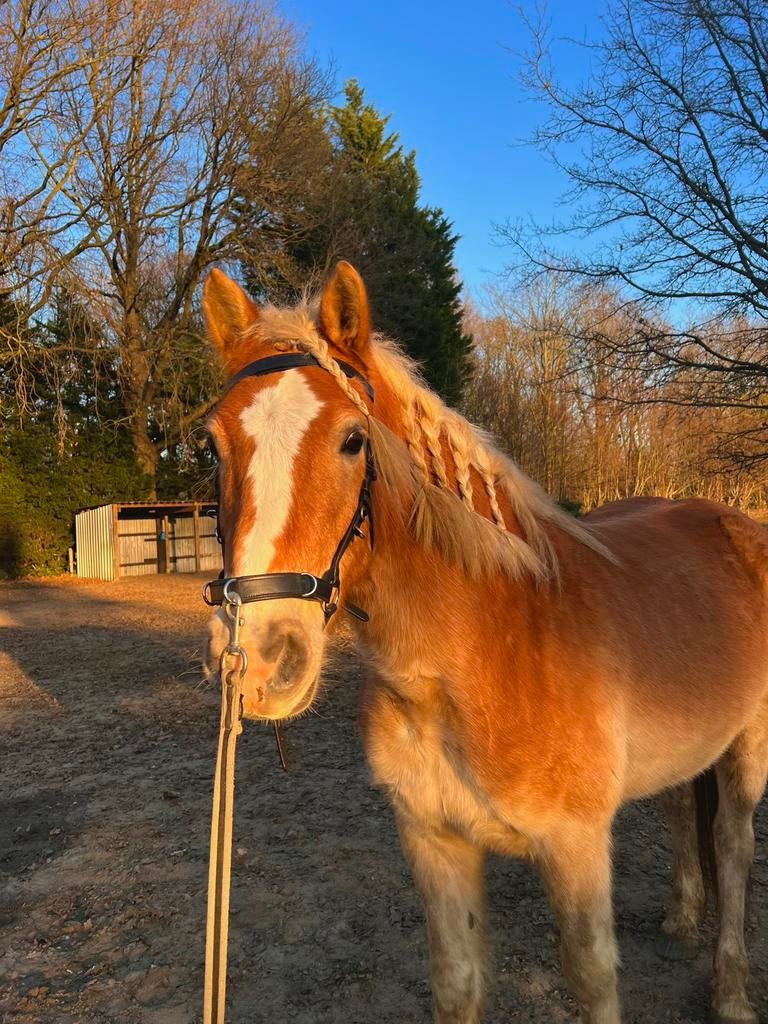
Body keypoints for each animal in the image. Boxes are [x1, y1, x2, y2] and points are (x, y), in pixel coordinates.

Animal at [201, 260, 768, 1024]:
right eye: (212, 444)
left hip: (748, 748)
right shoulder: (433, 841)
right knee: (683, 807)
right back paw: (682, 918)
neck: (479, 655)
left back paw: (731, 992)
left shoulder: (577, 850)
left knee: (734, 849)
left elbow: (593, 980)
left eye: (353, 439)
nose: (261, 660)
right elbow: (457, 983)